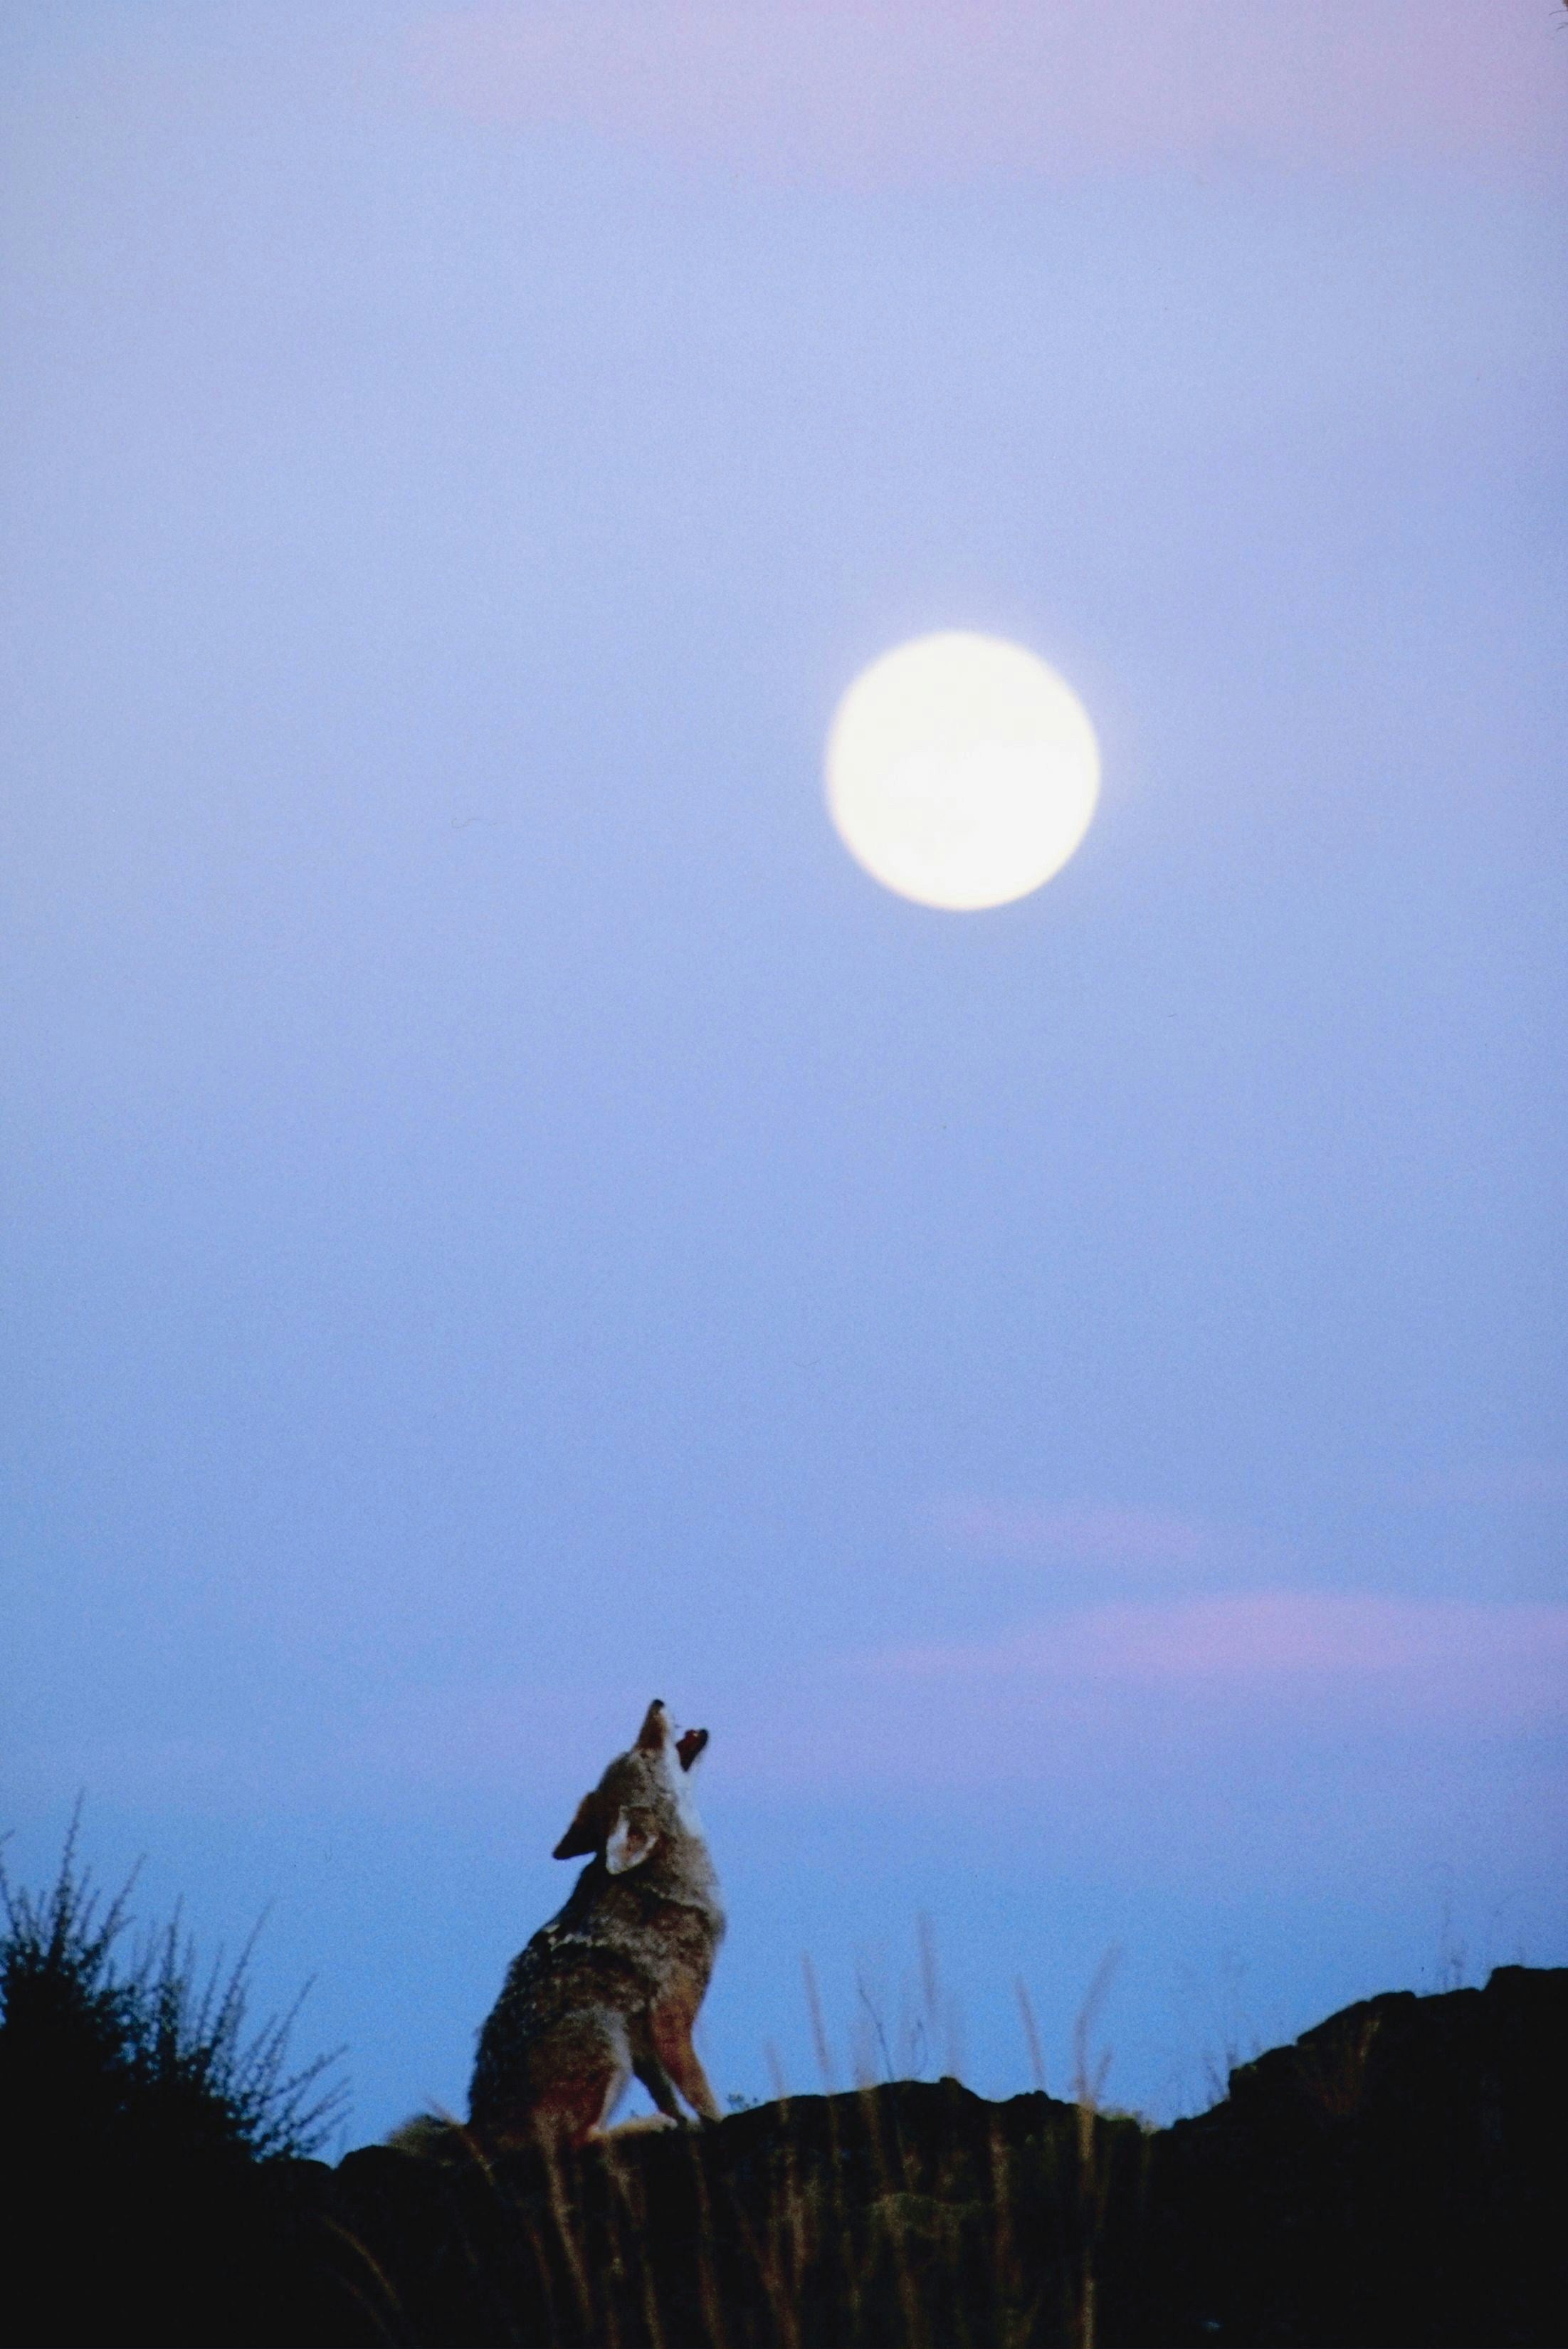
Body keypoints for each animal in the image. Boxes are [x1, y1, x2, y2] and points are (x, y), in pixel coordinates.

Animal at [465, 1699, 724, 2151]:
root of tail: (480, 2125)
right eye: (642, 1752)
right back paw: (649, 2125)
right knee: (580, 2140)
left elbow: (666, 2091)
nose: (656, 1702)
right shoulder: (671, 2022)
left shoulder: (643, 2039)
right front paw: (709, 2119)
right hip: (605, 2031)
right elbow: (702, 2095)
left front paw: (681, 2118)